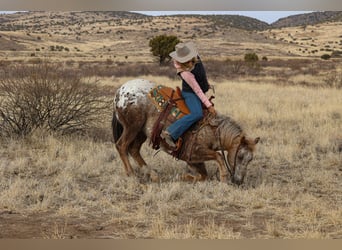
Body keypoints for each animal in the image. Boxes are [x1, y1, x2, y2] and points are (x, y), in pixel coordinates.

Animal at [112, 79, 260, 185]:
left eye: (250, 159)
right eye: (240, 156)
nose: (239, 181)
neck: (213, 130)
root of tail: (120, 92)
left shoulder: (192, 160)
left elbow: (204, 175)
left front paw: (185, 177)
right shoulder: (194, 151)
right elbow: (218, 156)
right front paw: (223, 178)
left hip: (141, 133)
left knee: (134, 150)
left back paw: (153, 175)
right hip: (133, 127)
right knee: (122, 146)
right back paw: (131, 174)